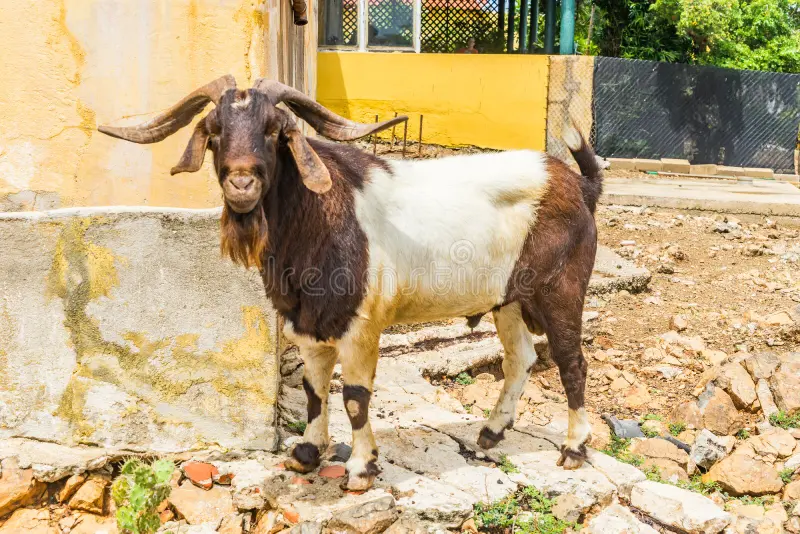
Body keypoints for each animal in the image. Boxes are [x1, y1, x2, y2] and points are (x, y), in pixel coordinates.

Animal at [99, 75, 603, 491]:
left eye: (274, 130)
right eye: (216, 130)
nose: (241, 184)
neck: (320, 217)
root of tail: (579, 185)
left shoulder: (361, 326)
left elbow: (355, 397)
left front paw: (361, 469)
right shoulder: (306, 323)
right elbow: (313, 389)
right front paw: (306, 454)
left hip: (561, 290)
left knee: (571, 362)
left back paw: (573, 448)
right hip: (509, 299)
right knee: (520, 358)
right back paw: (490, 433)